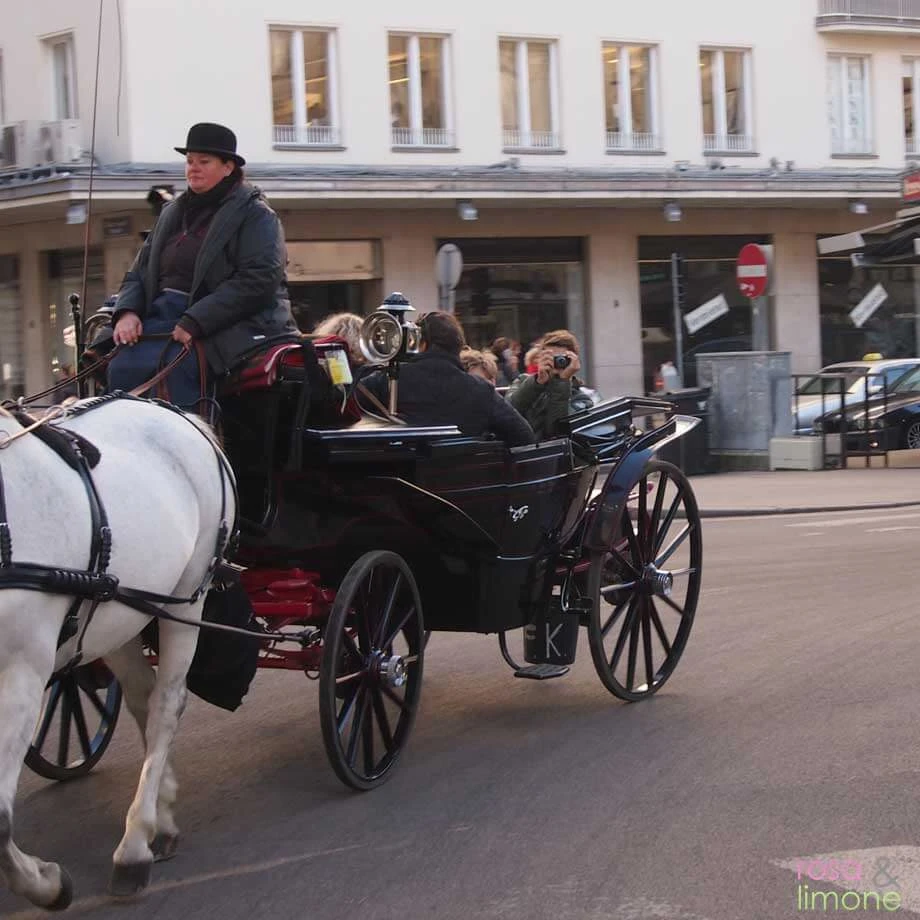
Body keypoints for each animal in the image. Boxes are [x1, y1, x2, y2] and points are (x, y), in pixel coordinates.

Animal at [0, 398, 235, 908]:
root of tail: (181, 415)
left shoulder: (21, 674)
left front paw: (48, 884)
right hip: (120, 612)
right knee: (143, 697)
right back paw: (160, 815)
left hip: (187, 596)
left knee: (166, 704)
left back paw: (134, 846)